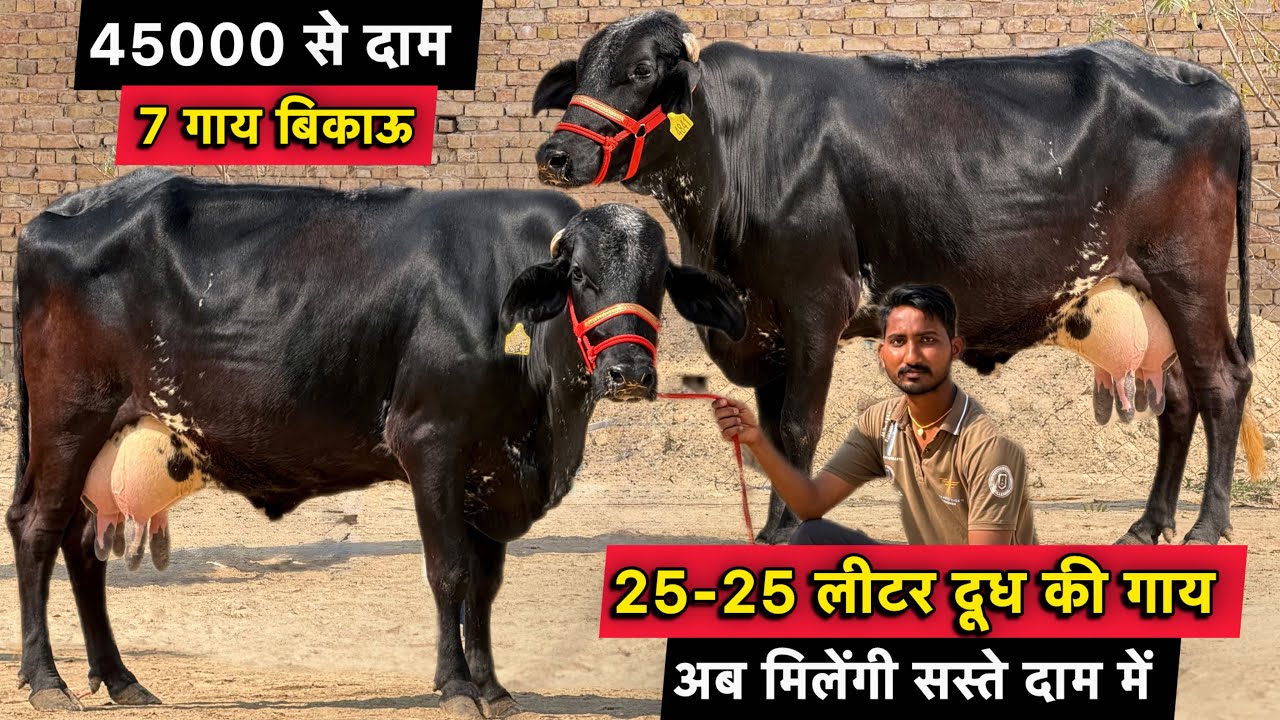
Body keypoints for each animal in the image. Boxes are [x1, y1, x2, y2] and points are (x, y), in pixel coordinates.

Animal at [7, 168, 745, 717]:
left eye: (656, 284)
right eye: (583, 278)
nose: (630, 373)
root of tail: (56, 215)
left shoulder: (491, 472)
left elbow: (486, 586)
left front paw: (494, 687)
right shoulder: (431, 445)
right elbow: (449, 572)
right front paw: (456, 686)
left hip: (105, 439)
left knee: (82, 544)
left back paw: (120, 677)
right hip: (69, 420)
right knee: (38, 530)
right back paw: (47, 680)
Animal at [532, 10, 1264, 546]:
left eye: (641, 70)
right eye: (581, 71)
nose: (555, 155)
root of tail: (1201, 78)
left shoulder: (814, 303)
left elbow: (797, 427)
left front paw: (791, 532)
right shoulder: (764, 322)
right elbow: (769, 432)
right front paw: (771, 531)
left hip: (1187, 274)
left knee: (1221, 382)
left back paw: (1205, 527)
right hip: (1144, 295)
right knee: (1178, 397)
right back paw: (1148, 525)